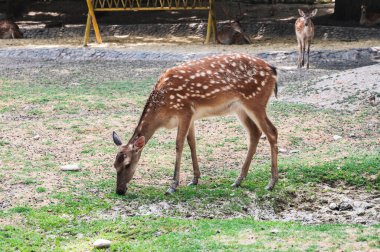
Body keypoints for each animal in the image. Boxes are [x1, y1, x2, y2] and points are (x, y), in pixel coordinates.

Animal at [111, 53, 278, 195]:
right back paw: (238, 180)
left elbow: (179, 145)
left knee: (272, 131)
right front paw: (195, 179)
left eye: (127, 164)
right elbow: (192, 143)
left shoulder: (184, 110)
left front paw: (172, 186)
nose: (119, 190)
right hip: (240, 108)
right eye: (114, 165)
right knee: (255, 133)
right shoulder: (191, 115)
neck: (162, 112)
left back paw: (271, 183)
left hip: (255, 101)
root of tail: (272, 69)